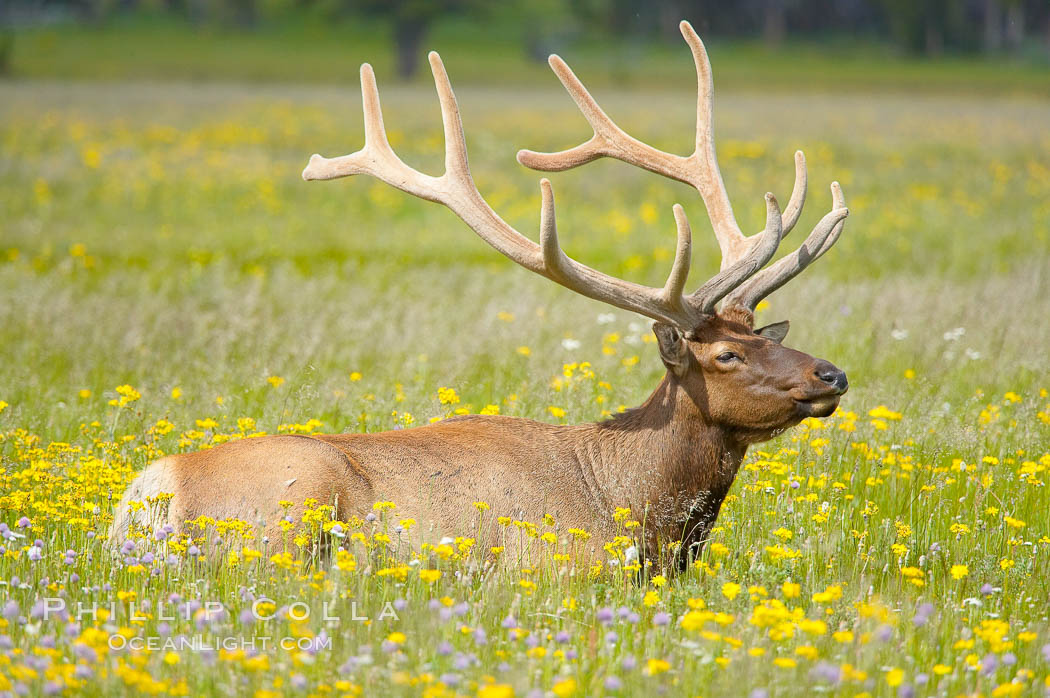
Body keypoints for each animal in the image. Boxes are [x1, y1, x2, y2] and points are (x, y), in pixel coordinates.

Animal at [112, 21, 852, 566]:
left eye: (761, 334)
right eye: (725, 356)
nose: (832, 373)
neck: (640, 517)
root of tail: (154, 491)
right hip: (289, 513)